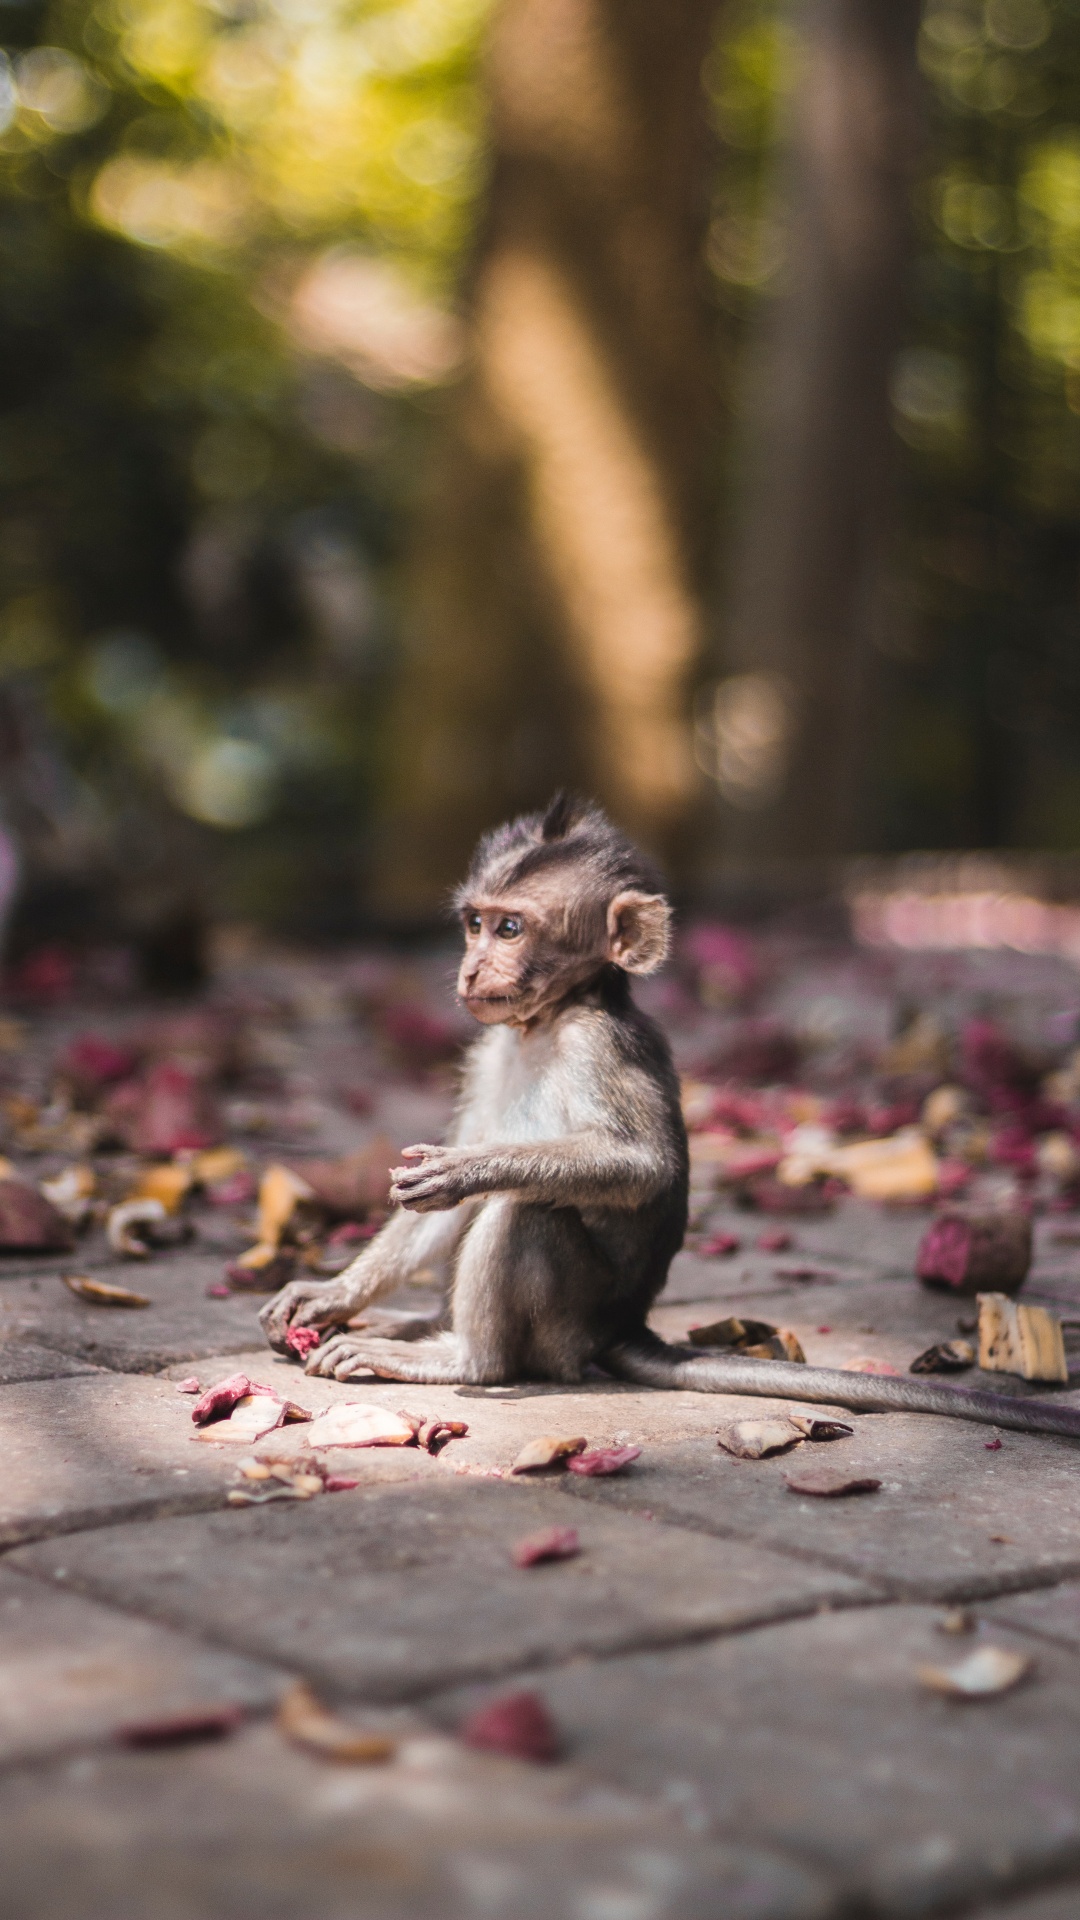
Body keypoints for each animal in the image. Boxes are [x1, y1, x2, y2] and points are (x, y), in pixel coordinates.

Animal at [261, 794, 1076, 1443]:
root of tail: (625, 1324)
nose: (470, 968)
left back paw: (461, 1357)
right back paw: (410, 1324)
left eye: (511, 930)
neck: (550, 1020)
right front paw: (332, 1292)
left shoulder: (601, 1045)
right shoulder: (489, 1048)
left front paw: (469, 1171)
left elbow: (639, 1167)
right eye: (474, 923)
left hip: (568, 1327)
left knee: (526, 1211)